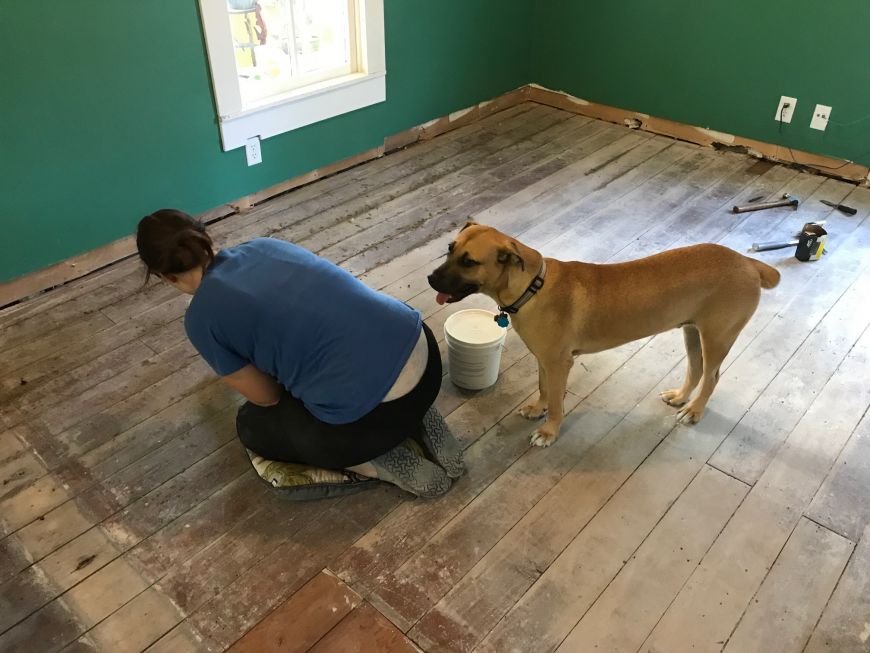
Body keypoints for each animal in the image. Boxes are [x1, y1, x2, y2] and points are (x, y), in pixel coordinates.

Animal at [430, 222, 784, 446]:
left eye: (469, 261)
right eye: (449, 248)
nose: (431, 279)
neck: (531, 286)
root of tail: (748, 262)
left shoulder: (559, 363)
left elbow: (557, 401)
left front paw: (549, 431)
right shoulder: (545, 360)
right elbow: (544, 388)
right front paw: (537, 408)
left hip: (717, 336)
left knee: (711, 377)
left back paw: (694, 411)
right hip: (692, 331)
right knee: (696, 369)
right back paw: (680, 397)